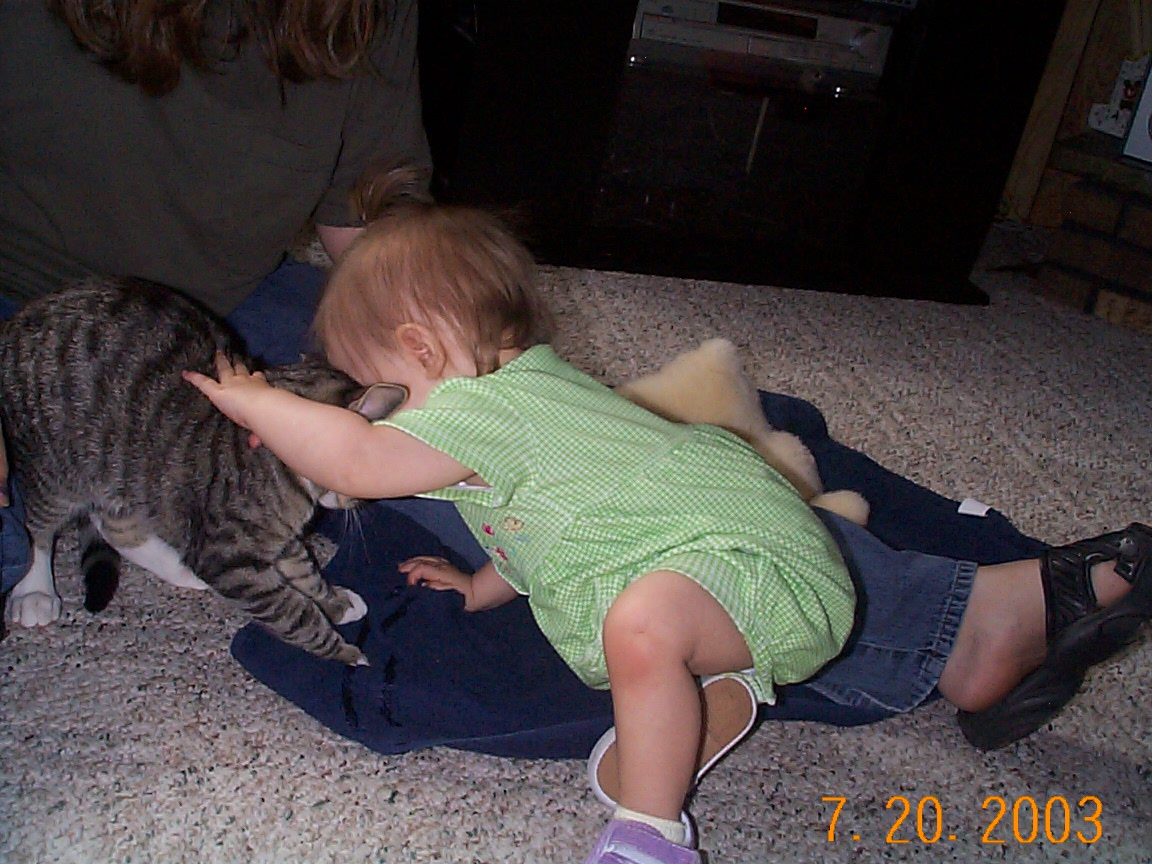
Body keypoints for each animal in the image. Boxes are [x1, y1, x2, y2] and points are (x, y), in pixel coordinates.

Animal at [0, 277, 405, 665]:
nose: (360, 505)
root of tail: (16, 320)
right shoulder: (230, 559)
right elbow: (293, 613)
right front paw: (341, 649)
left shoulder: (278, 537)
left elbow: (305, 569)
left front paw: (334, 600)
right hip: (53, 465)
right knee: (37, 527)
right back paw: (35, 589)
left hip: (125, 471)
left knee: (115, 524)